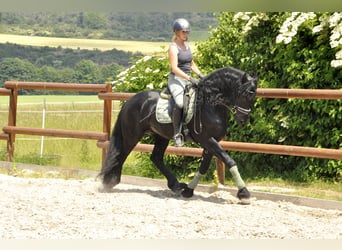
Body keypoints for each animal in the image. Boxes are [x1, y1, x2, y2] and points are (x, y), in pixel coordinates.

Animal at [97, 67, 258, 203]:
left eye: (254, 94)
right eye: (247, 94)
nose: (243, 120)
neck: (210, 104)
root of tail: (131, 100)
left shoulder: (211, 142)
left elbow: (204, 167)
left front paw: (188, 191)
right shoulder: (207, 139)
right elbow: (229, 160)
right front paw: (244, 193)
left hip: (161, 136)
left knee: (156, 158)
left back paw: (176, 185)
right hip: (132, 135)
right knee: (121, 154)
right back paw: (109, 181)